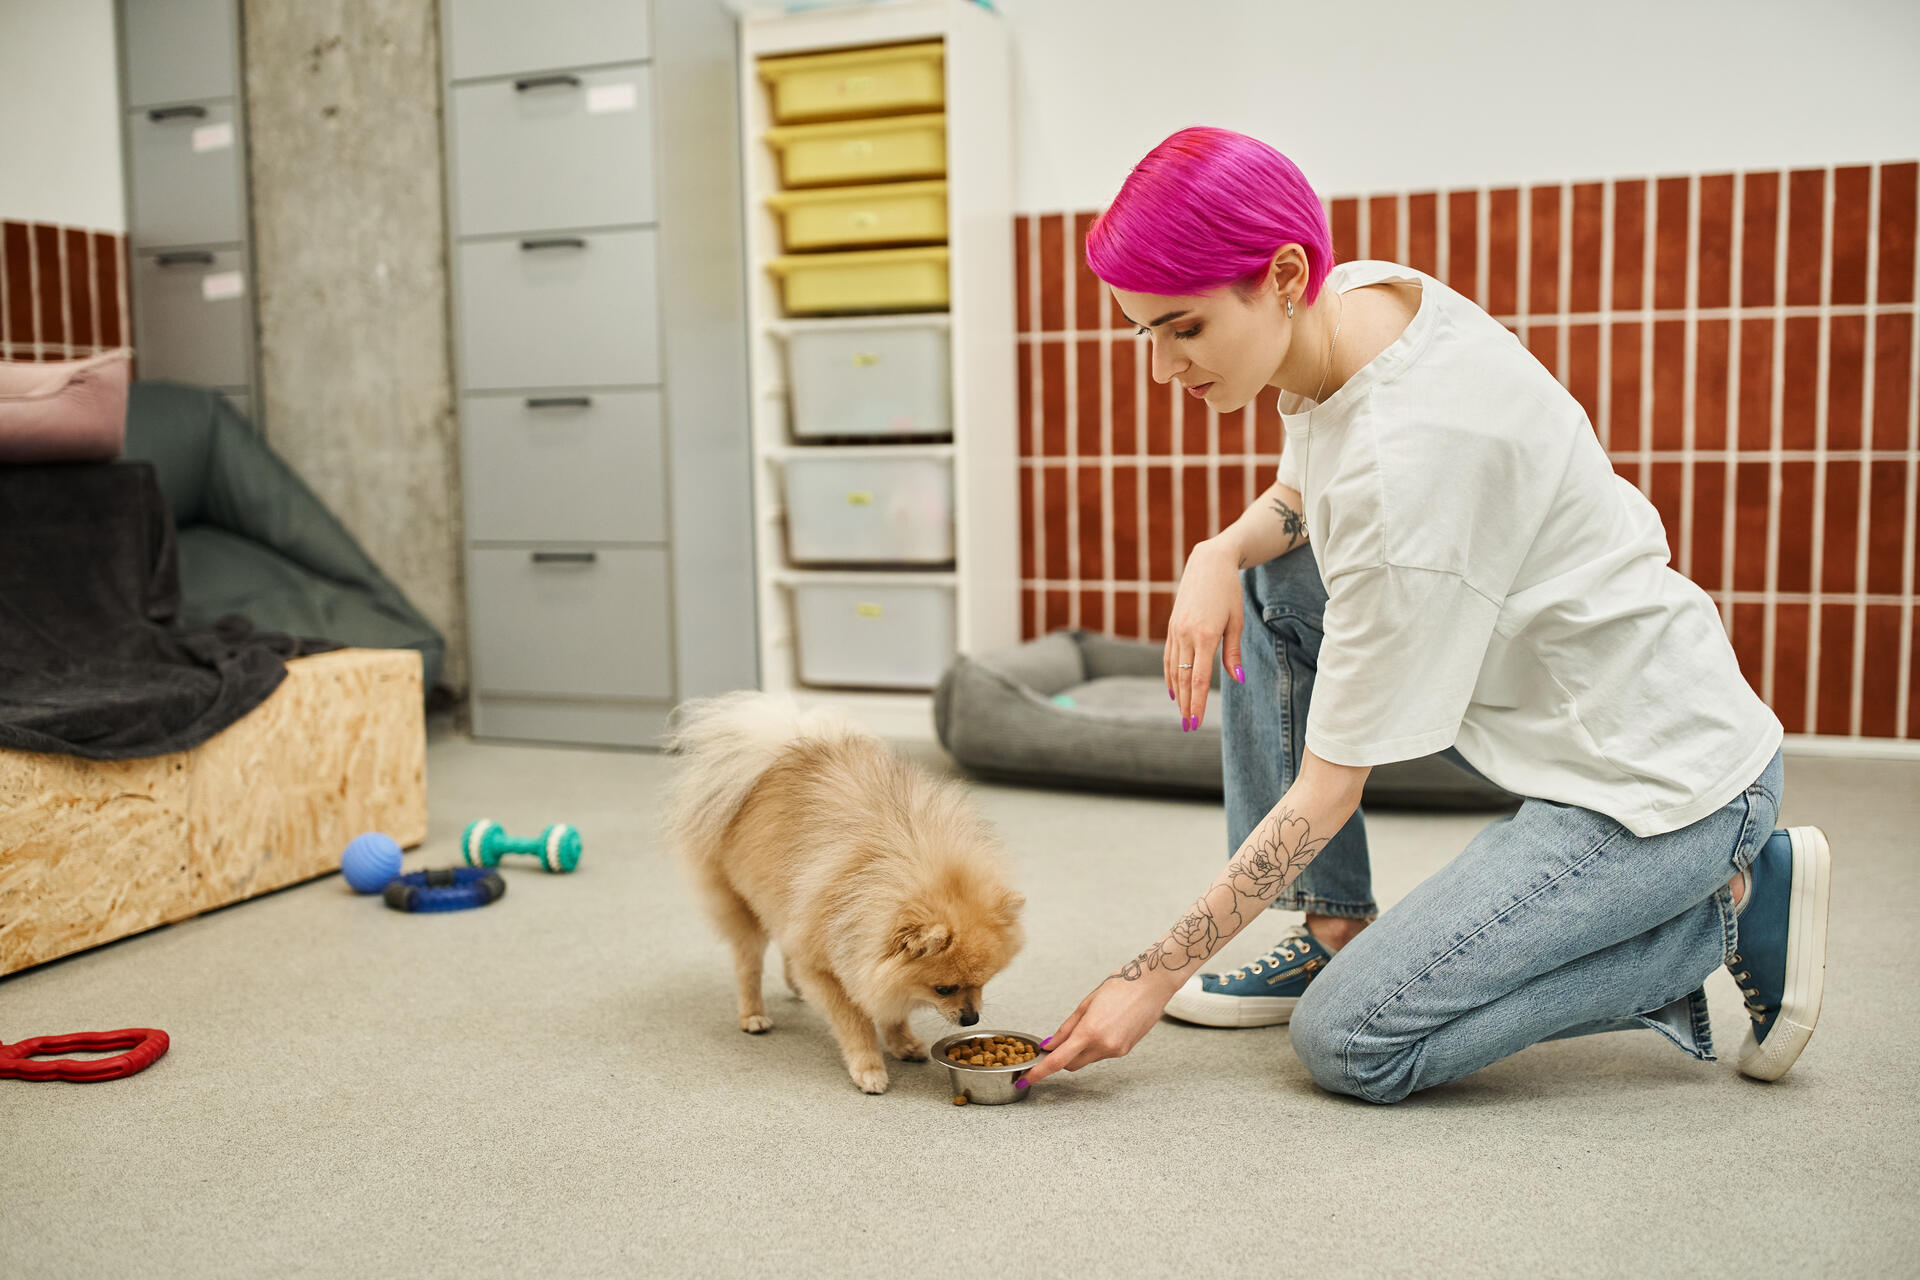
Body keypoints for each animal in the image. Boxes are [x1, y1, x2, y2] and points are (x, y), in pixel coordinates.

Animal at [664, 694, 1029, 1097]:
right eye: (944, 988)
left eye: (984, 982)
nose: (971, 1018)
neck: (907, 854)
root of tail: (776, 751)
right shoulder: (831, 965)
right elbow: (855, 1022)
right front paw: (869, 1067)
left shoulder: (864, 957)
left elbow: (892, 1007)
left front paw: (902, 1041)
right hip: (742, 907)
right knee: (749, 966)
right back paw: (753, 1014)